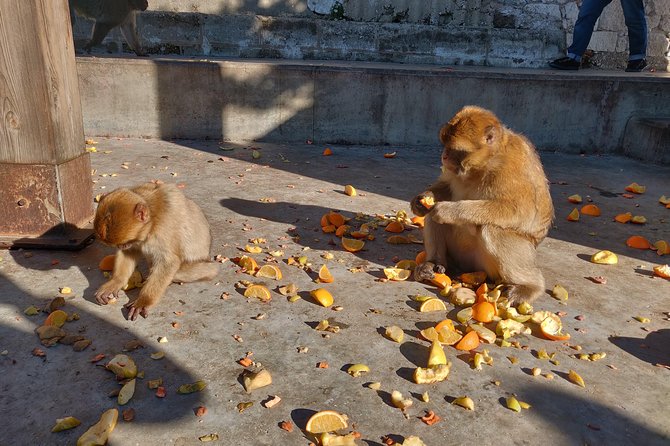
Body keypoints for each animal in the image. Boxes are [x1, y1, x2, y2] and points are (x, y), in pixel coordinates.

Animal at [92, 182, 217, 320]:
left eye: (124, 244)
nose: (120, 247)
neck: (152, 220)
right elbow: (130, 252)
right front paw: (116, 281)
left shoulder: (164, 228)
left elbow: (169, 262)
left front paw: (144, 300)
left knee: (207, 269)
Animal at [414, 106, 556, 304]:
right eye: (445, 144)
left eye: (455, 149)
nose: (444, 156)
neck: (483, 165)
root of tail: (468, 267)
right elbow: (446, 187)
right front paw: (420, 200)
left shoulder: (511, 166)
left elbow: (522, 212)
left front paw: (448, 210)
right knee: (431, 217)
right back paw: (434, 263)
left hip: (487, 266)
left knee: (492, 229)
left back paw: (530, 286)